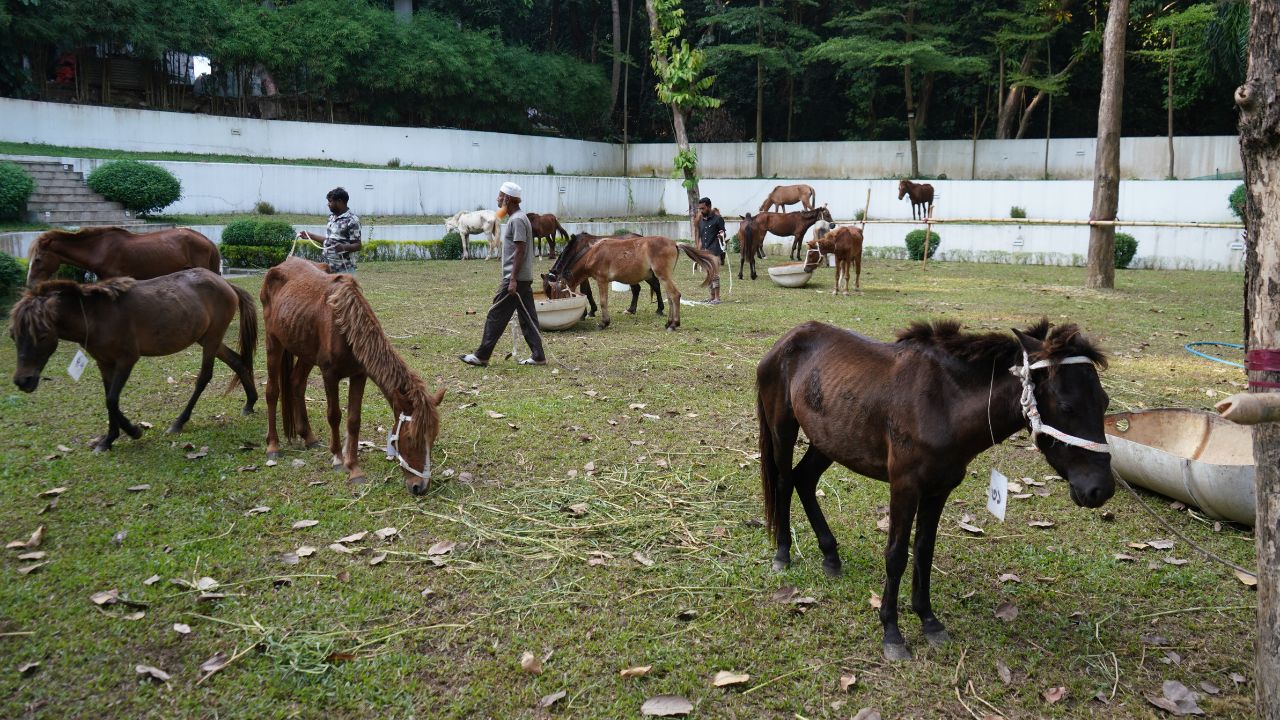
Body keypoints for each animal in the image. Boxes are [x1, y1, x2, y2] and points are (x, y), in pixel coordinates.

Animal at [9, 269, 257, 451]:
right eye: (13, 335)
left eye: (42, 335)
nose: (23, 380)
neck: (96, 315)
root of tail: (226, 284)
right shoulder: (104, 363)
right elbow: (108, 398)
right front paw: (109, 439)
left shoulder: (126, 360)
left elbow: (111, 399)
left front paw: (133, 431)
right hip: (206, 339)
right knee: (237, 362)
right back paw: (250, 402)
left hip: (211, 340)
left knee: (204, 377)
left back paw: (179, 422)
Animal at [260, 257, 444, 494]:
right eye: (410, 438)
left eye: (433, 437)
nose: (419, 487)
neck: (345, 326)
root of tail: (281, 265)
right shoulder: (329, 374)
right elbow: (334, 415)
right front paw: (338, 459)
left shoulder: (359, 375)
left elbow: (353, 420)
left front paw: (354, 468)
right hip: (273, 342)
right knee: (272, 391)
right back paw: (273, 446)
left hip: (304, 349)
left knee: (296, 384)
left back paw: (308, 436)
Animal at [543, 235, 718, 331]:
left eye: (558, 294)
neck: (593, 253)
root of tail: (675, 243)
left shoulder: (601, 280)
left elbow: (603, 301)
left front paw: (603, 323)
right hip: (664, 277)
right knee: (670, 296)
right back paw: (669, 323)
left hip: (663, 276)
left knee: (674, 295)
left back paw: (673, 324)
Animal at [757, 319, 1113, 661]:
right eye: (1067, 406)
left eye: (1105, 402)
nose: (1101, 489)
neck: (943, 404)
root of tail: (786, 340)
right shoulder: (904, 487)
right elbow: (896, 556)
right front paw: (892, 632)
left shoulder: (938, 490)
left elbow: (924, 551)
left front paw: (928, 620)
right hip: (783, 430)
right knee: (784, 482)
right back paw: (783, 553)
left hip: (829, 439)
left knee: (804, 480)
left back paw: (830, 555)